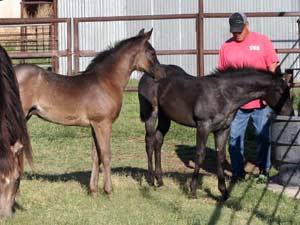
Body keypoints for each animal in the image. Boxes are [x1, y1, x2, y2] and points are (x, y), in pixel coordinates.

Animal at [13, 29, 164, 198]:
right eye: (152, 52)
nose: (162, 74)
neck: (107, 81)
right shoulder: (103, 124)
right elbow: (106, 155)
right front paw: (109, 192)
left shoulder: (94, 125)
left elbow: (95, 156)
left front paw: (93, 191)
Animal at [139, 64, 292, 200]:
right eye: (280, 91)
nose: (289, 114)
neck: (224, 95)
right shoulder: (203, 126)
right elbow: (200, 154)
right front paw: (193, 191)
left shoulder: (223, 129)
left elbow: (221, 156)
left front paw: (223, 192)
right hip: (151, 114)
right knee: (149, 142)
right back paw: (150, 180)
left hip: (165, 117)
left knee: (158, 141)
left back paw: (160, 180)